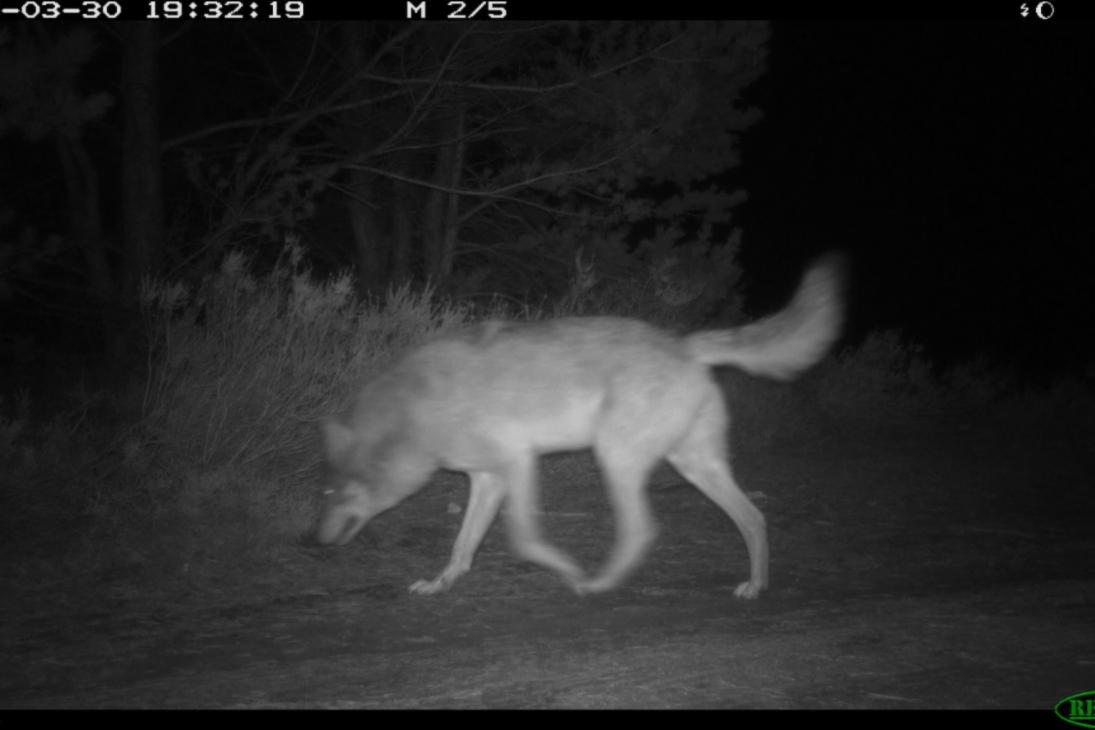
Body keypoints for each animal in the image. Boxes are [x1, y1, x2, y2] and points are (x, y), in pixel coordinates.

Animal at [317, 256, 845, 599]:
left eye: (337, 491)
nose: (312, 539)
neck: (414, 412)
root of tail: (683, 344)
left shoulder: (517, 462)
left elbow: (524, 539)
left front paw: (567, 570)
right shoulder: (486, 479)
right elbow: (462, 546)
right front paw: (439, 584)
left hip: (616, 458)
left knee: (643, 530)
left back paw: (599, 582)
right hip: (693, 466)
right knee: (753, 518)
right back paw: (756, 586)